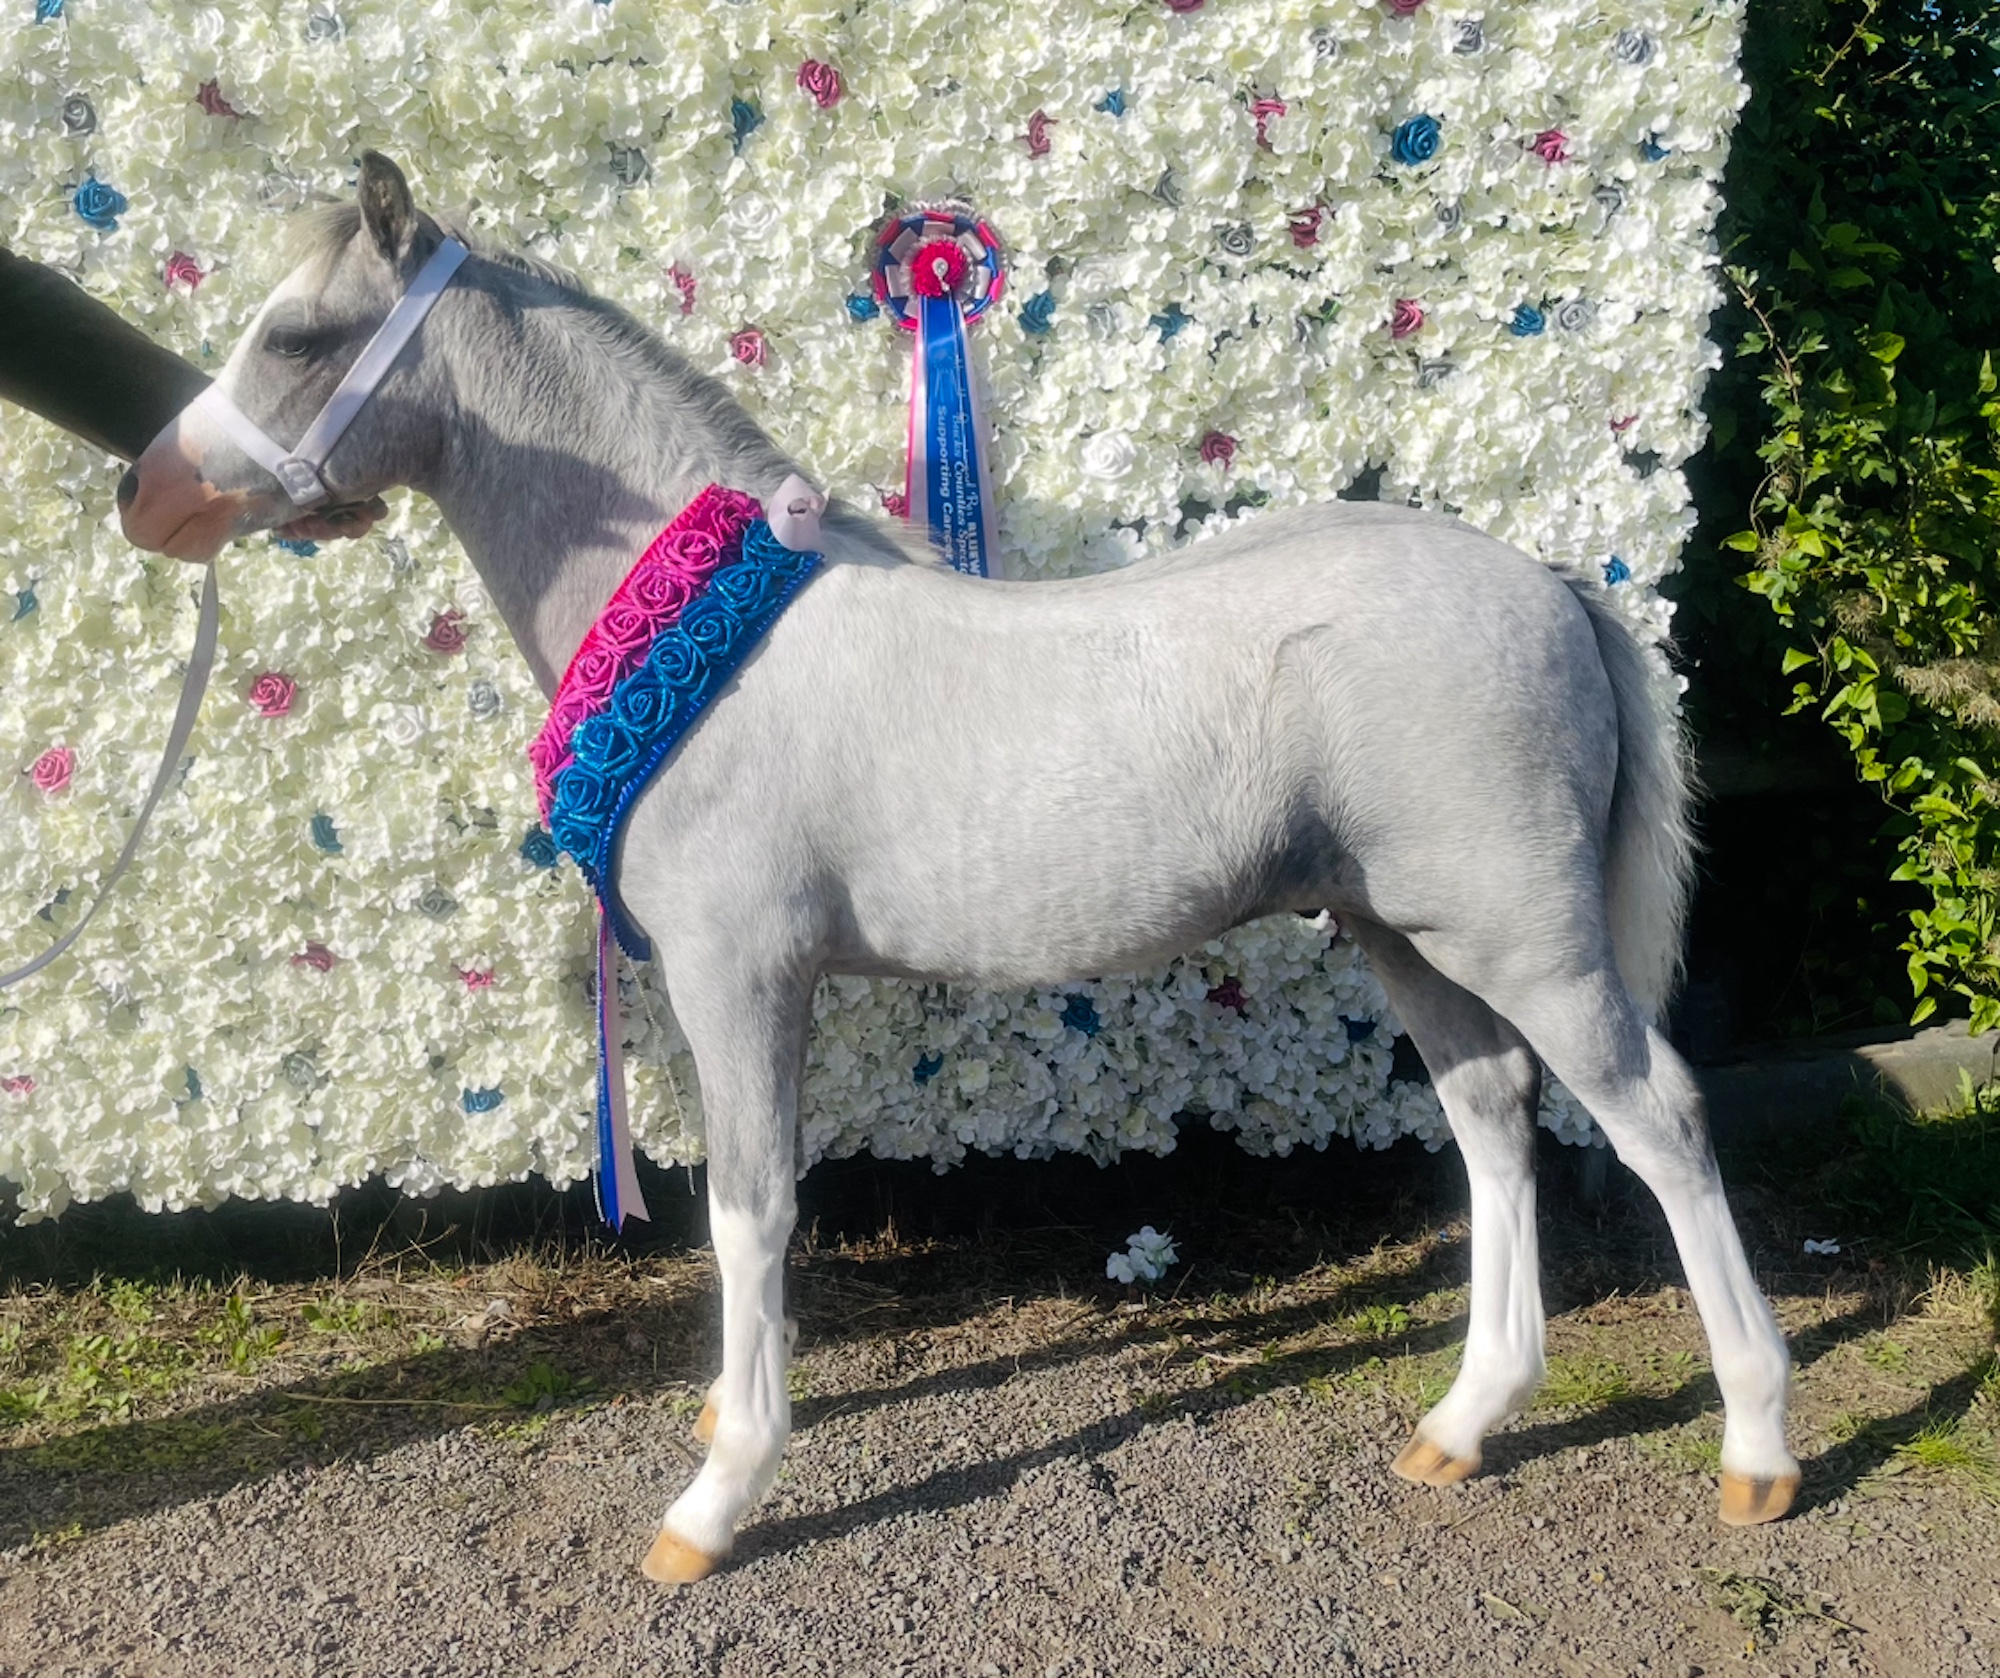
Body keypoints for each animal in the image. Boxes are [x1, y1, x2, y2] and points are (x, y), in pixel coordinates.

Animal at [118, 153, 1800, 1583]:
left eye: (300, 333)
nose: (150, 491)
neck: (708, 634)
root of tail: (1552, 586)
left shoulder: (739, 977)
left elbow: (750, 1211)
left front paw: (718, 1498)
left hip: (1527, 941)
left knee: (1660, 1118)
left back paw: (1758, 1448)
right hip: (1408, 934)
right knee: (1494, 1119)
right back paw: (1462, 1422)